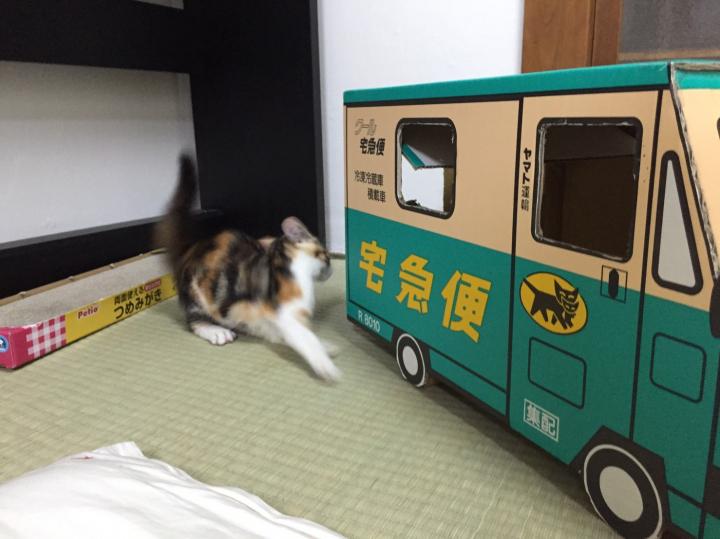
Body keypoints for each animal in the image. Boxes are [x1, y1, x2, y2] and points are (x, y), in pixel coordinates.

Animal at [155, 154, 341, 382]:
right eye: (326, 255)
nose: (331, 268)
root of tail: (187, 253)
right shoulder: (284, 313)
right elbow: (305, 336)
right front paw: (324, 364)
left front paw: (326, 347)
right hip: (197, 297)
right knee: (194, 322)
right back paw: (216, 331)